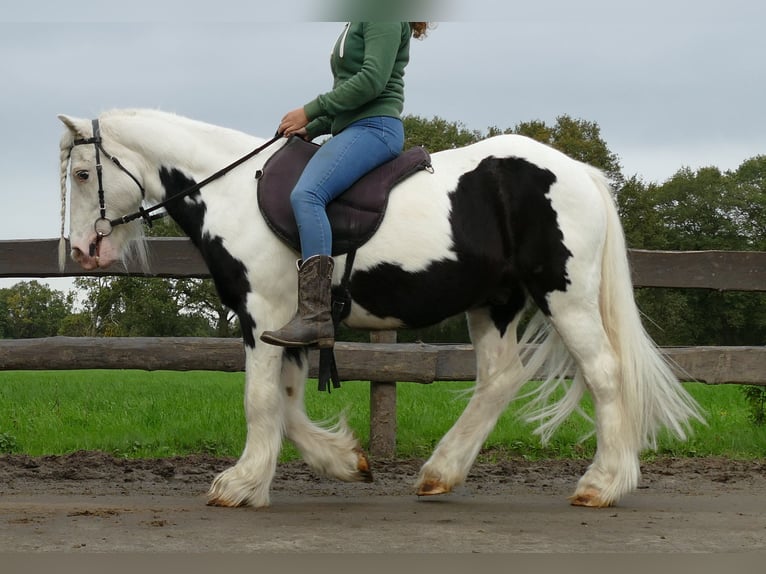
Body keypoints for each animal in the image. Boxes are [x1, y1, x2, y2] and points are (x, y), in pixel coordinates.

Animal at [57, 107, 704, 508]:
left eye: (84, 173)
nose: (84, 251)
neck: (235, 192)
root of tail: (579, 173)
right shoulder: (290, 326)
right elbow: (287, 404)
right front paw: (344, 462)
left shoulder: (262, 316)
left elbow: (261, 401)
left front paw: (239, 485)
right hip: (493, 302)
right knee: (500, 379)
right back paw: (440, 473)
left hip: (564, 295)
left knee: (605, 374)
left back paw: (603, 484)